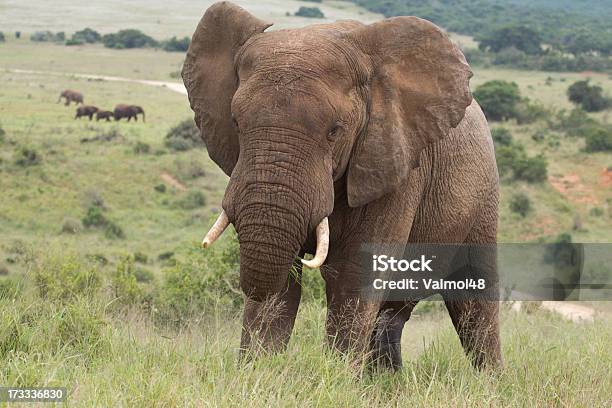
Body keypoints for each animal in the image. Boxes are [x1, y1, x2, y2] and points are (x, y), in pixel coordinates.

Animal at [184, 2, 504, 370]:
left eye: (334, 131)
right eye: (236, 123)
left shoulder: (394, 163)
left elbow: (354, 275)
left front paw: (335, 376)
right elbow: (284, 283)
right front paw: (259, 371)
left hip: (483, 197)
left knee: (475, 305)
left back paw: (490, 380)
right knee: (392, 315)